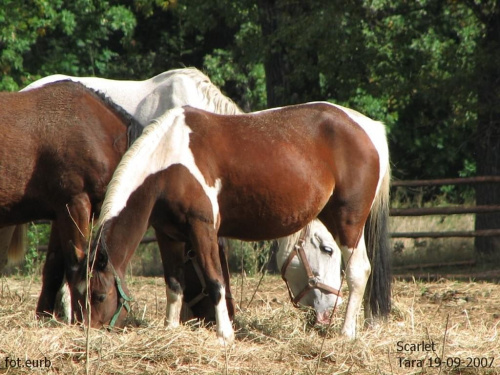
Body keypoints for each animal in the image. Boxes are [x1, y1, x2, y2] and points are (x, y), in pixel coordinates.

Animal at [0, 81, 143, 320]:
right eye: (100, 296)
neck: (98, 133)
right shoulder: (75, 204)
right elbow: (75, 264)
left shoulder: (60, 212)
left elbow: (54, 267)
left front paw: (44, 316)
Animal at [73, 101, 390, 346]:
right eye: (80, 295)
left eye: (99, 295)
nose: (90, 332)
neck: (168, 163)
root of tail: (367, 127)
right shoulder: (168, 235)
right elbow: (174, 284)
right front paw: (170, 329)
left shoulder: (202, 229)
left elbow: (216, 281)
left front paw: (224, 335)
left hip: (349, 221)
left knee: (358, 270)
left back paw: (347, 333)